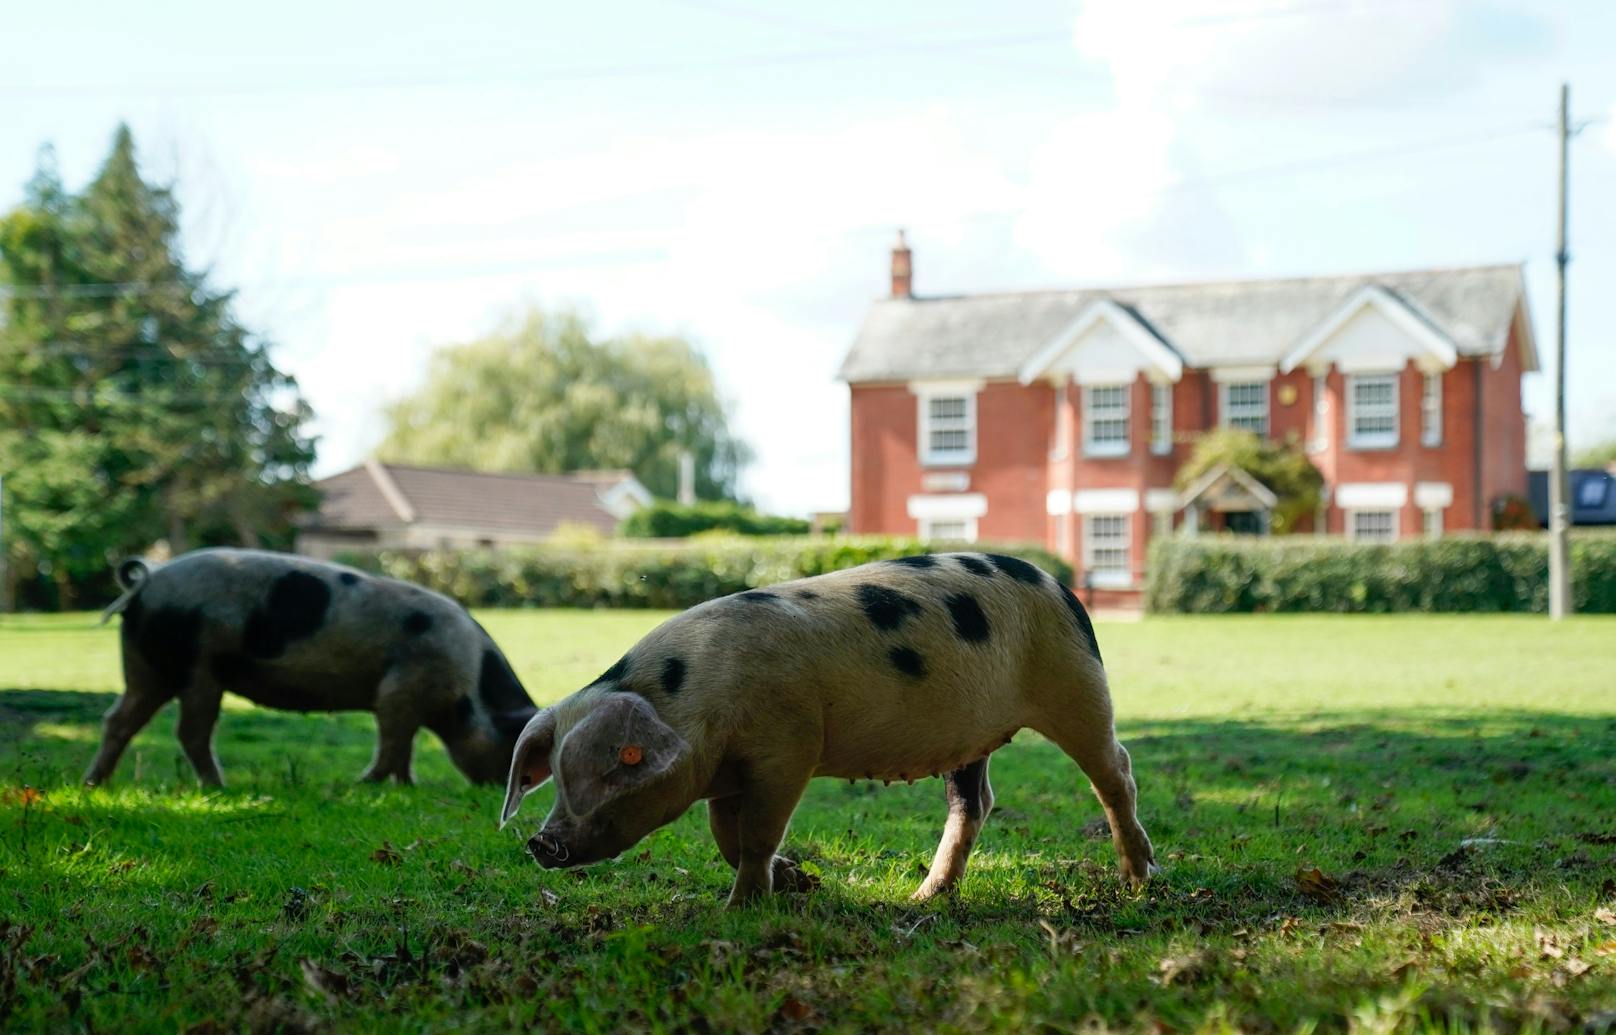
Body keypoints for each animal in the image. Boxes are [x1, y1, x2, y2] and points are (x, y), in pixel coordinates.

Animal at [88, 549, 536, 782]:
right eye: (512, 744)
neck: (470, 685)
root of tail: (145, 583)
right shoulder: (397, 693)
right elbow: (392, 744)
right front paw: (363, 785)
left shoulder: (408, 702)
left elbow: (404, 749)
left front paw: (407, 785)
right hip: (198, 668)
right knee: (190, 732)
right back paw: (220, 786)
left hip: (146, 669)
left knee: (119, 719)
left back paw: (95, 782)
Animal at [497, 549, 1157, 905]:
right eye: (554, 777)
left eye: (615, 766)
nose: (540, 842)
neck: (696, 699)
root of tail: (1062, 588)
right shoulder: (729, 773)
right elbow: (726, 836)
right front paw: (795, 881)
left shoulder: (787, 749)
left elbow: (757, 835)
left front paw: (739, 909)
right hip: (973, 740)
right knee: (976, 803)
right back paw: (925, 896)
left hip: (1077, 687)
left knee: (1117, 773)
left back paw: (1137, 880)